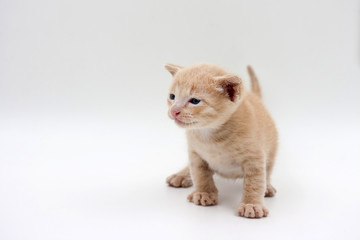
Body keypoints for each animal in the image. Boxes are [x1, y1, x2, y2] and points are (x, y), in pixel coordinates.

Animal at [165, 62, 278, 218]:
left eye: (194, 101)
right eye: (172, 96)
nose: (173, 111)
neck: (210, 134)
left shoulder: (254, 158)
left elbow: (255, 182)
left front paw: (252, 204)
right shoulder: (195, 154)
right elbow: (200, 174)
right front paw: (204, 193)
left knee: (267, 171)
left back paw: (268, 186)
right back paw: (181, 175)